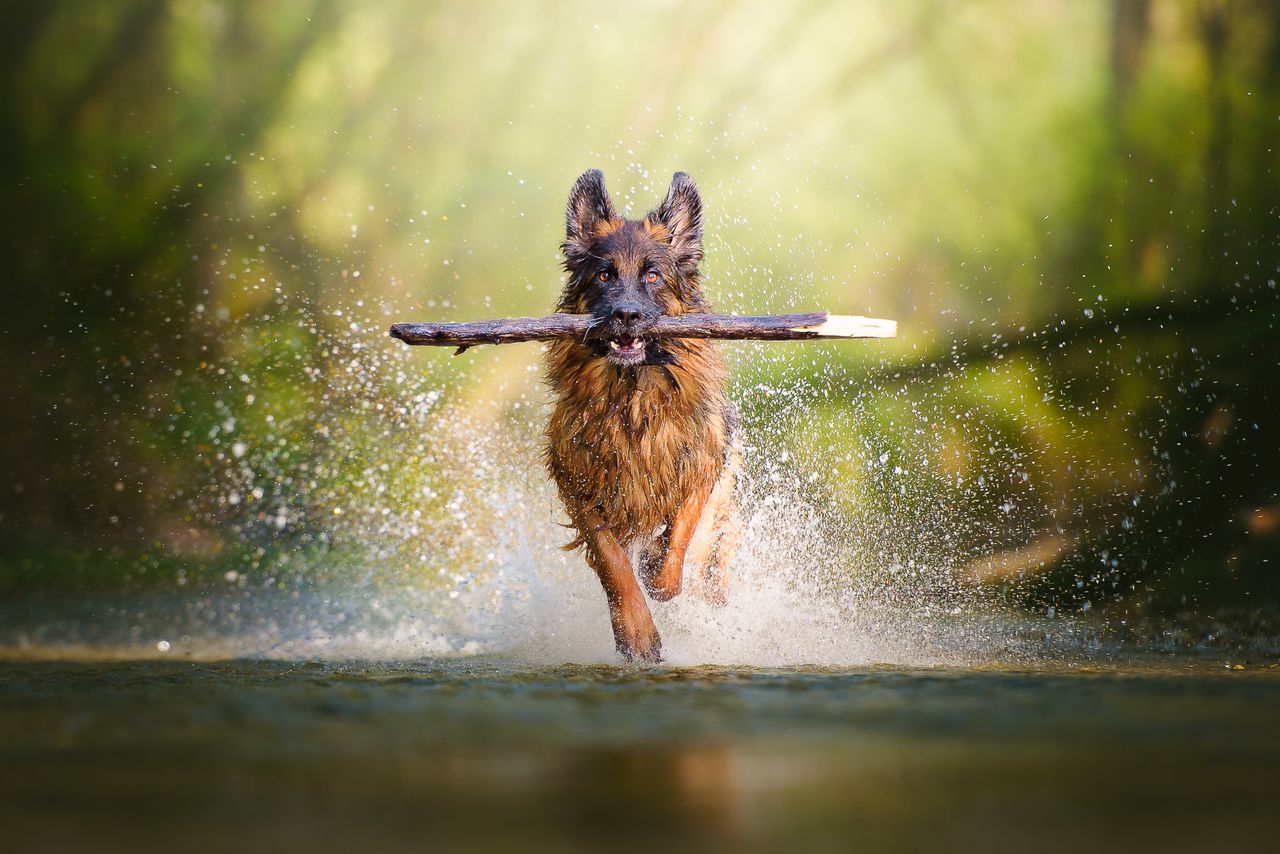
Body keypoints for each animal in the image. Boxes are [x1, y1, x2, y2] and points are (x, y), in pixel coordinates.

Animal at [542, 169, 742, 660]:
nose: (626, 315)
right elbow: (612, 559)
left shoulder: (702, 462)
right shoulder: (577, 479)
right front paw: (635, 631)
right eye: (603, 274)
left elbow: (683, 533)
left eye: (652, 275)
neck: (633, 398)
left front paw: (658, 570)